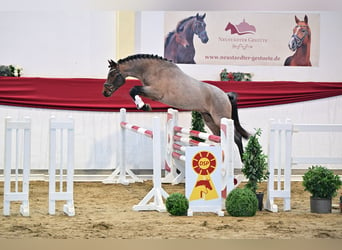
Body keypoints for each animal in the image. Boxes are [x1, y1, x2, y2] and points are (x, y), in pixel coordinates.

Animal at [101, 53, 248, 157]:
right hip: (209, 119)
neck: (153, 70)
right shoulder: (151, 93)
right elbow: (134, 91)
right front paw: (142, 106)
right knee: (219, 137)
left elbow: (133, 89)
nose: (105, 93)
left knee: (236, 137)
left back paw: (244, 164)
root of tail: (225, 95)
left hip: (221, 118)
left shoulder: (156, 92)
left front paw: (143, 106)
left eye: (113, 74)